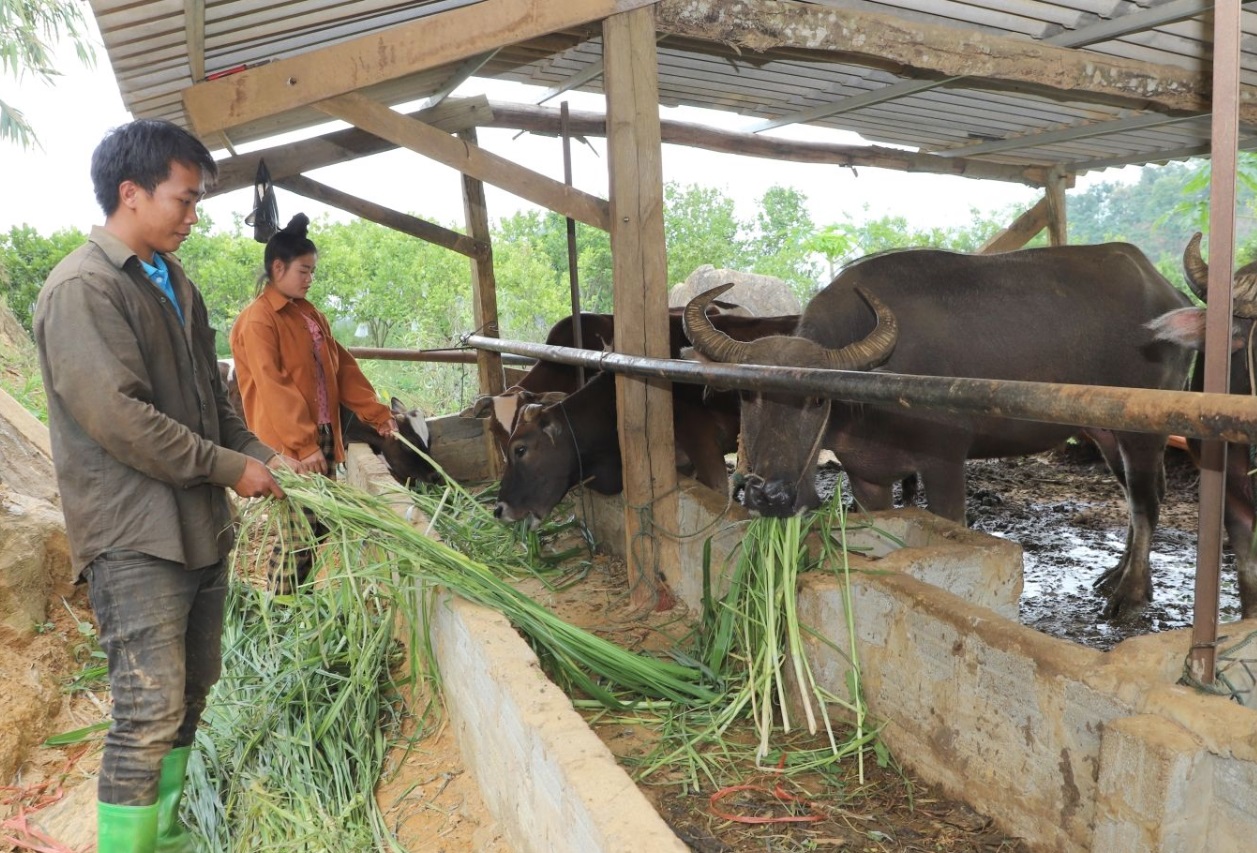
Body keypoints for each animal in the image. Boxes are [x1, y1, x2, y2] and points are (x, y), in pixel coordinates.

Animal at [683, 243, 1191, 618]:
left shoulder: (945, 462)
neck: (876, 384)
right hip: (1105, 430)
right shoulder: (865, 474)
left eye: (818, 398)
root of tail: (1171, 297)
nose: (769, 495)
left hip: (1144, 429)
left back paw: (1130, 592)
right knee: (1137, 495)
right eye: (747, 394)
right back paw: (1119, 573)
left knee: (1145, 500)